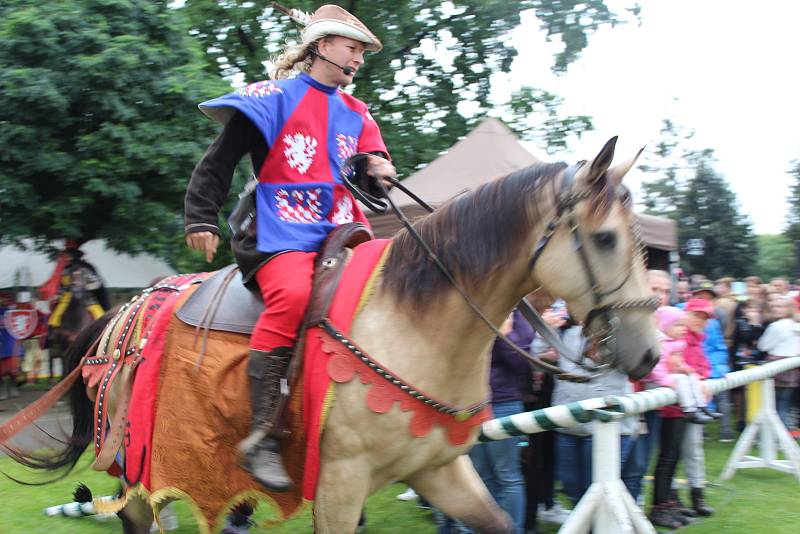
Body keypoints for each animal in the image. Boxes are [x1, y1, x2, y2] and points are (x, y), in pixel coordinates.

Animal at [10, 137, 656, 532]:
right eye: (605, 238)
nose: (647, 352)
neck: (413, 319)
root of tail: (121, 316)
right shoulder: (341, 484)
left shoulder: (440, 471)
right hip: (138, 464)